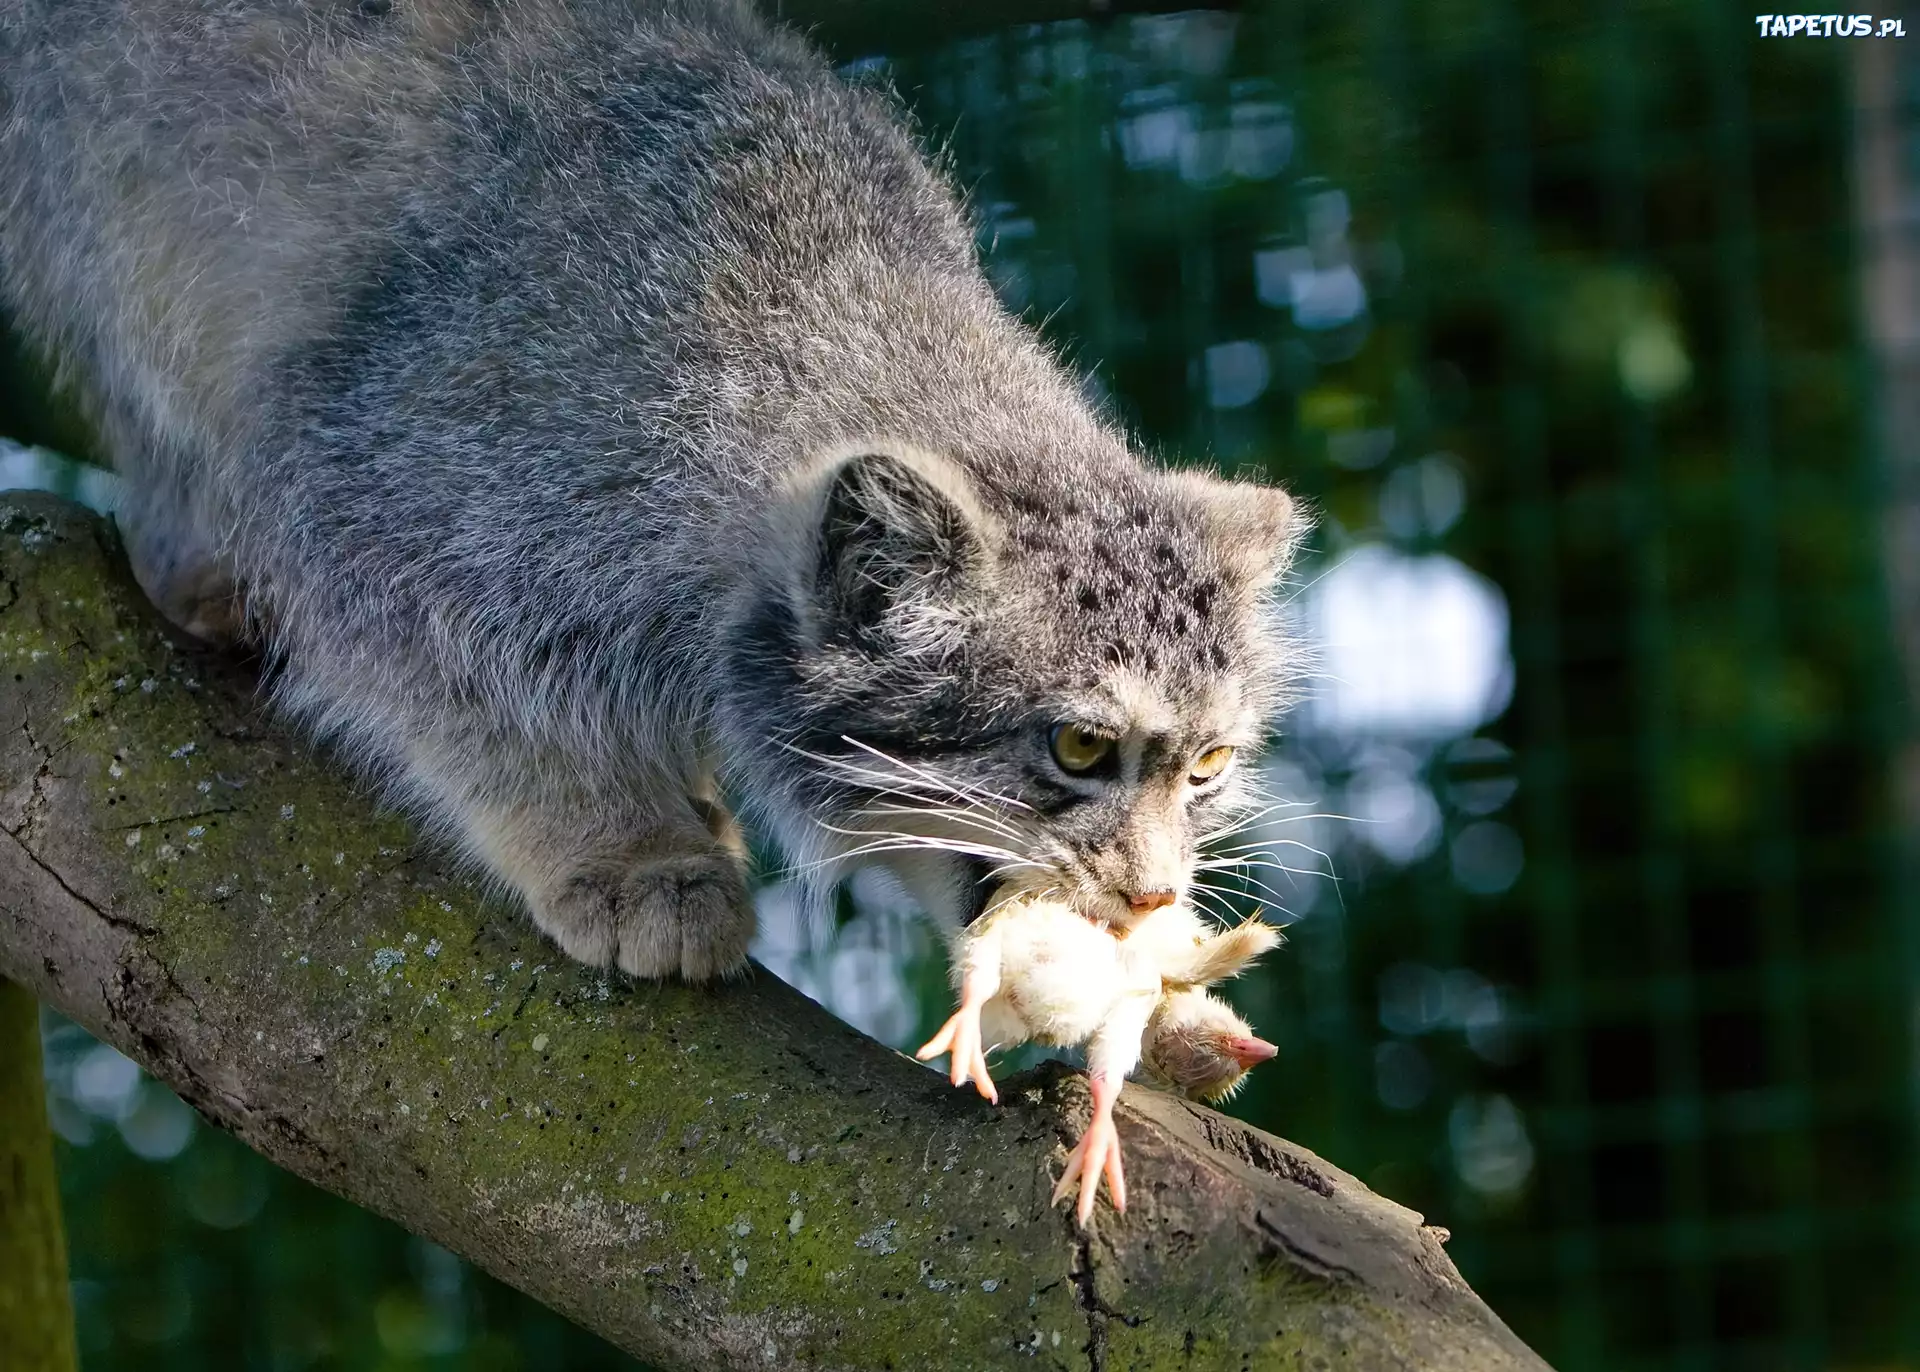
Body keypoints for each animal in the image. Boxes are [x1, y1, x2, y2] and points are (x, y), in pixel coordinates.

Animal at [0, 5, 1305, 982]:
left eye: (1206, 766)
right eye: (1080, 746)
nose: (1153, 897)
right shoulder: (372, 479)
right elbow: (467, 689)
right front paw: (627, 851)